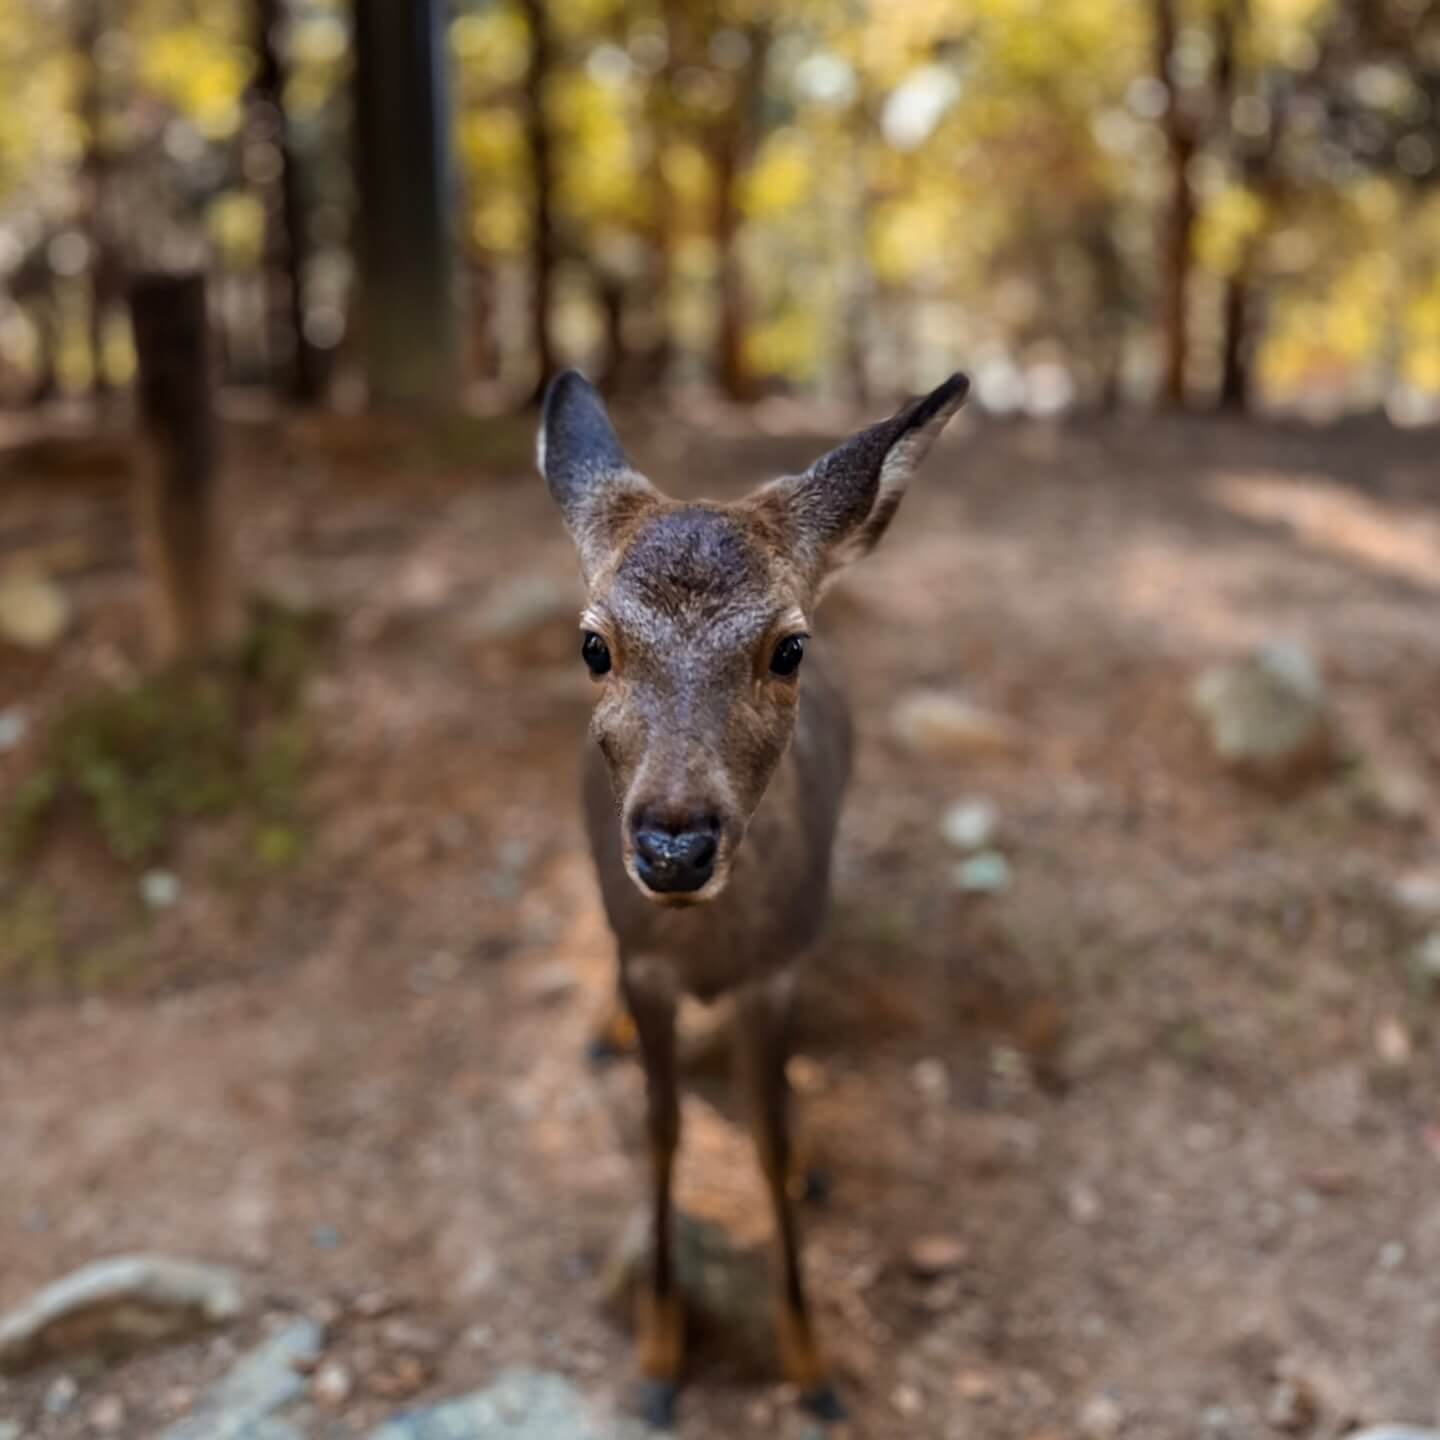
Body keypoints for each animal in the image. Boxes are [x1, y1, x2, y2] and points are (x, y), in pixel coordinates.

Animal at [538, 365, 967, 1422]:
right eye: (594, 645)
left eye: (788, 648)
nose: (674, 845)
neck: (707, 950)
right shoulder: (646, 961)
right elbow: (662, 1133)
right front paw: (659, 1356)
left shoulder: (775, 973)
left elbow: (765, 1142)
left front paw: (812, 1366)